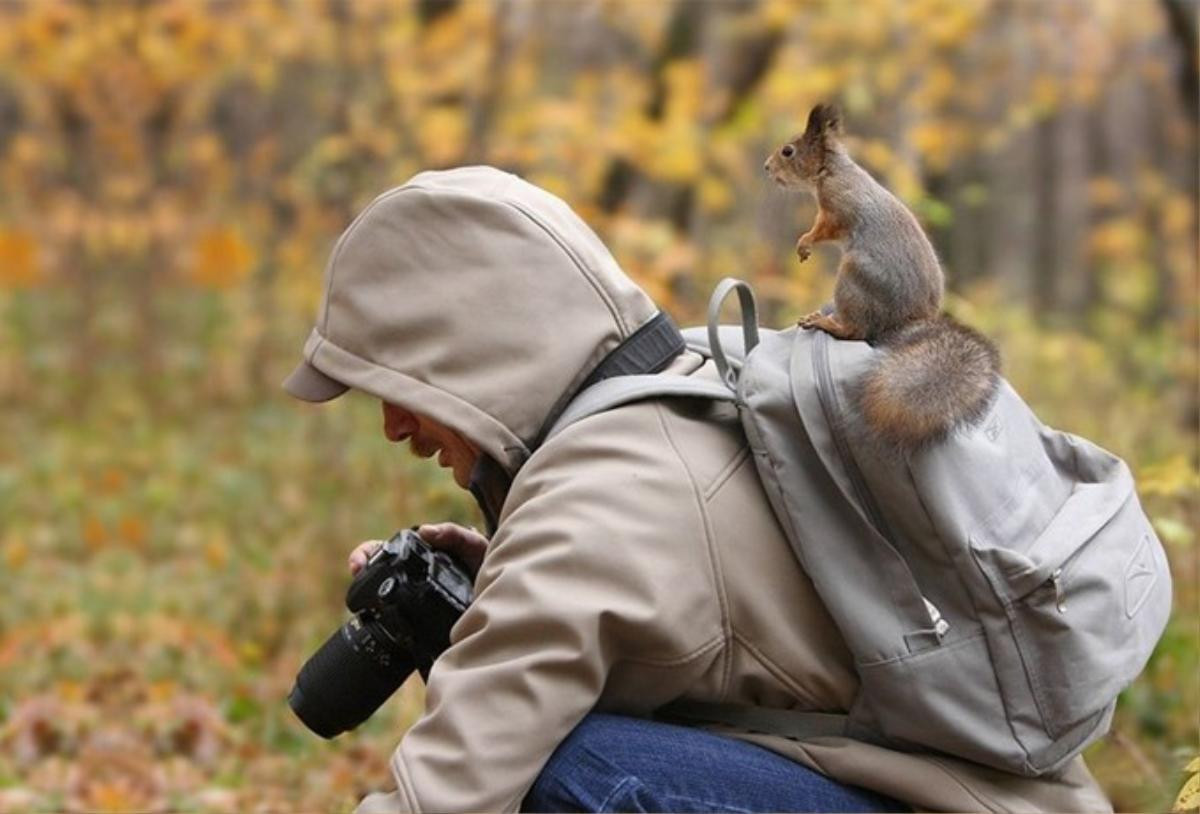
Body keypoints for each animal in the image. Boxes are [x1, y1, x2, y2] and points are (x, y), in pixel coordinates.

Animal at [768, 102, 1003, 453]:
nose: (766, 167)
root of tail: (908, 321)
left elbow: (823, 229)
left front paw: (804, 243)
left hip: (855, 278)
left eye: (788, 150)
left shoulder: (836, 209)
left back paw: (825, 322)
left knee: (856, 330)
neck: (831, 171)